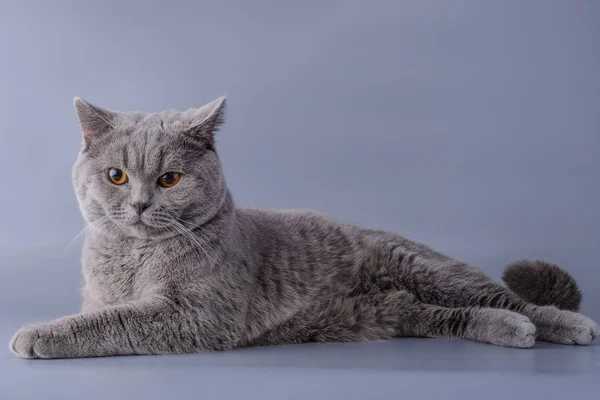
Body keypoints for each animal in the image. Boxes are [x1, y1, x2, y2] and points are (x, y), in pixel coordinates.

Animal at [8, 97, 596, 360]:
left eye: (169, 178)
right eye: (116, 175)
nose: (138, 203)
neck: (133, 258)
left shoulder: (196, 315)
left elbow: (112, 323)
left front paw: (36, 334)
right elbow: (103, 313)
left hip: (427, 269)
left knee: (506, 297)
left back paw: (564, 325)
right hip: (401, 311)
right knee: (451, 316)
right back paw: (512, 331)